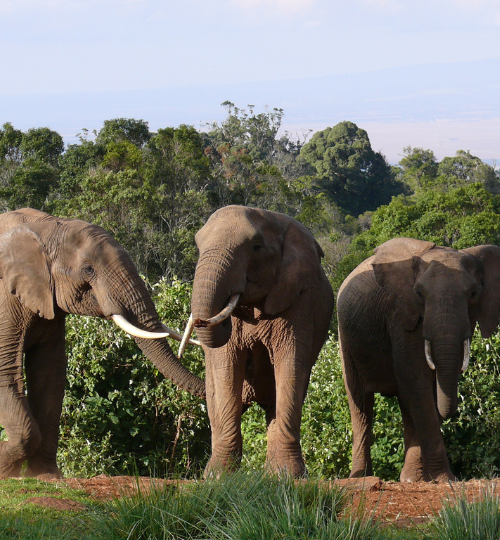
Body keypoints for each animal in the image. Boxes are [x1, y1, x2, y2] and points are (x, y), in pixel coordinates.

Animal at [0, 209, 205, 478]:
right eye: (88, 270)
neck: (45, 228)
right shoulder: (4, 301)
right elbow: (6, 369)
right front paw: (6, 466)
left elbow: (50, 373)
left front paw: (46, 476)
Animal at [182, 206, 334, 476]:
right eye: (198, 246)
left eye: (256, 247)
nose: (200, 320)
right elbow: (226, 366)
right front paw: (218, 476)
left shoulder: (300, 300)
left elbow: (290, 364)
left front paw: (289, 476)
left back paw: (273, 472)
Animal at [336, 238, 500, 484]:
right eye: (419, 293)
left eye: (473, 293)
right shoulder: (401, 314)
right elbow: (416, 380)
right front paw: (444, 479)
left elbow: (426, 388)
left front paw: (429, 478)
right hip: (345, 338)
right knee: (360, 403)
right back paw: (360, 478)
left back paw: (411, 479)